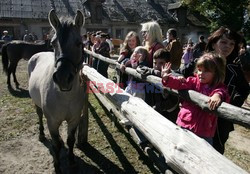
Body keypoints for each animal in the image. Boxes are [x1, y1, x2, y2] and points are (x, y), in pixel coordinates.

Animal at [28, 9, 86, 173]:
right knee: (39, 115)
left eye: (79, 43)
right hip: (37, 105)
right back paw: (41, 135)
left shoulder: (74, 120)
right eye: (53, 43)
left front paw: (72, 162)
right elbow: (56, 146)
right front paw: (57, 166)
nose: (62, 78)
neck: (65, 96)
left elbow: (70, 140)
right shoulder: (52, 122)